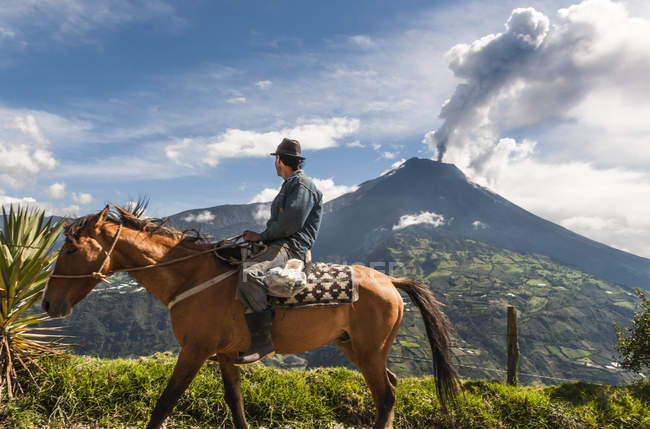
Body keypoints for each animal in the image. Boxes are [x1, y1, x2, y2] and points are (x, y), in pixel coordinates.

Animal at [41, 204, 456, 428]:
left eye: (72, 250)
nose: (47, 304)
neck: (192, 276)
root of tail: (390, 280)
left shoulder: (195, 350)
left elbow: (166, 401)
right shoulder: (226, 356)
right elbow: (234, 402)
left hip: (368, 351)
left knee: (385, 394)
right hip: (354, 347)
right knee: (390, 387)